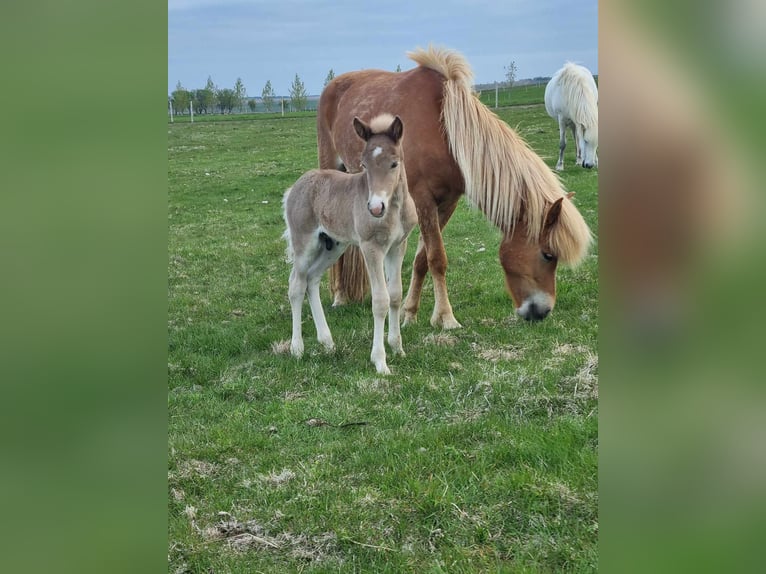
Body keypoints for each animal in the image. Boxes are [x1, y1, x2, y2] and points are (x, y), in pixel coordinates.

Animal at [284, 115, 416, 376]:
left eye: (394, 164)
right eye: (364, 165)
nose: (375, 208)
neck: (394, 208)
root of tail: (295, 187)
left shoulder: (398, 246)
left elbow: (395, 295)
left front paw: (398, 348)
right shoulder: (371, 248)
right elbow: (380, 300)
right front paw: (380, 361)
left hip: (334, 245)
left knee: (312, 280)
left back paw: (327, 342)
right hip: (304, 243)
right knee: (296, 284)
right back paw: (297, 348)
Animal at [318, 45, 592, 328]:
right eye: (548, 255)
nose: (542, 312)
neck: (445, 132)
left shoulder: (447, 202)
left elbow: (422, 260)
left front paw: (410, 313)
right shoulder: (423, 200)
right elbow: (437, 258)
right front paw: (446, 318)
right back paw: (340, 296)